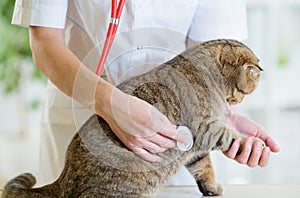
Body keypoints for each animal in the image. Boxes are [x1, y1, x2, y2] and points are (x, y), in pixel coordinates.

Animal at [2, 39, 264, 197]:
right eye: (245, 91)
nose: (236, 103)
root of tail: (61, 180)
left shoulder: (196, 146)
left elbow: (204, 167)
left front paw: (211, 188)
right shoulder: (205, 130)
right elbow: (232, 138)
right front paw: (253, 145)